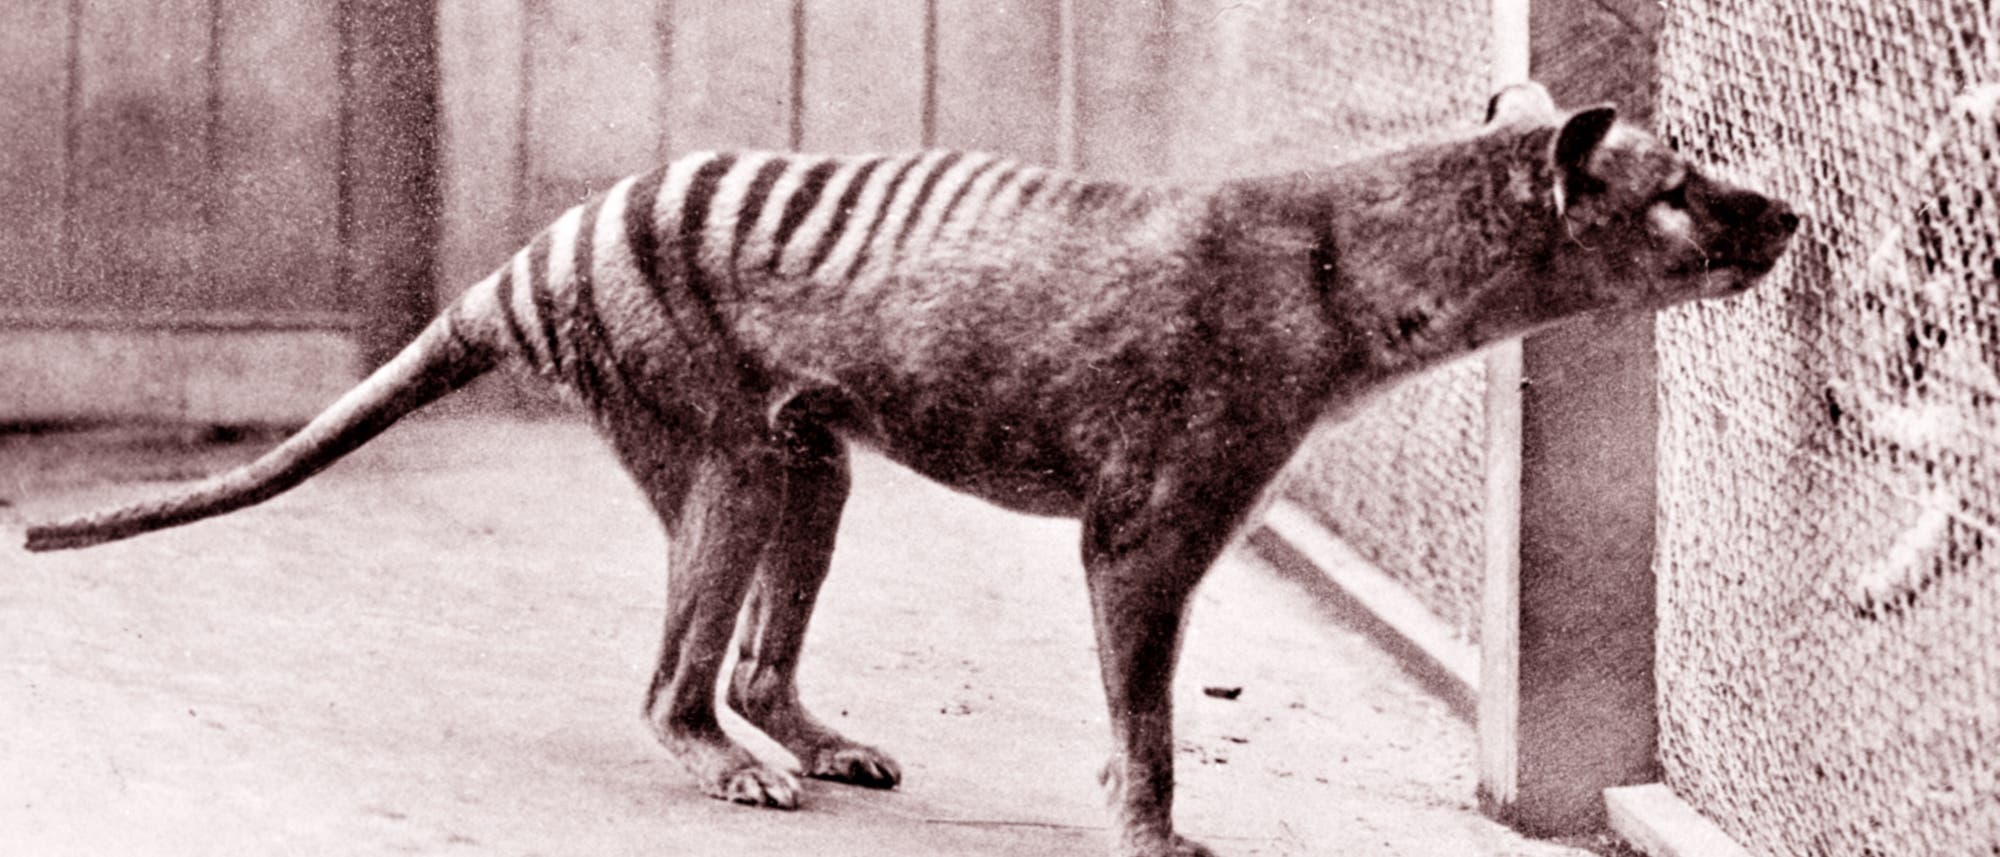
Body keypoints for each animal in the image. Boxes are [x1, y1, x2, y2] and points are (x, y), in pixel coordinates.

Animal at [24, 82, 1798, 857]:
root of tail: (532, 258)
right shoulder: (1149, 524)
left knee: (756, 647)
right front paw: (1152, 833)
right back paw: (733, 763)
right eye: (1679, 187)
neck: (1341, 263)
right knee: (674, 681)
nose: (1788, 214)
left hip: (808, 462)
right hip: (722, 451)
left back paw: (810, 735)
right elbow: (1146, 716)